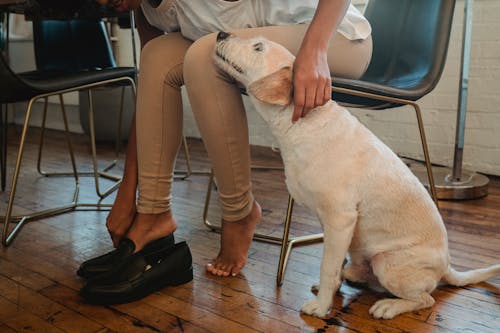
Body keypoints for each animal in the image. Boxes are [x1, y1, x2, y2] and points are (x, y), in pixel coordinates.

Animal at [212, 31, 500, 320]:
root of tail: (447, 266)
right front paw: (330, 291)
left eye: (258, 47)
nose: (221, 34)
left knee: (425, 298)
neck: (303, 123)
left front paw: (321, 307)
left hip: (386, 262)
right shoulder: (334, 226)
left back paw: (389, 306)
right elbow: (333, 264)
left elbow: (327, 267)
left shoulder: (340, 220)